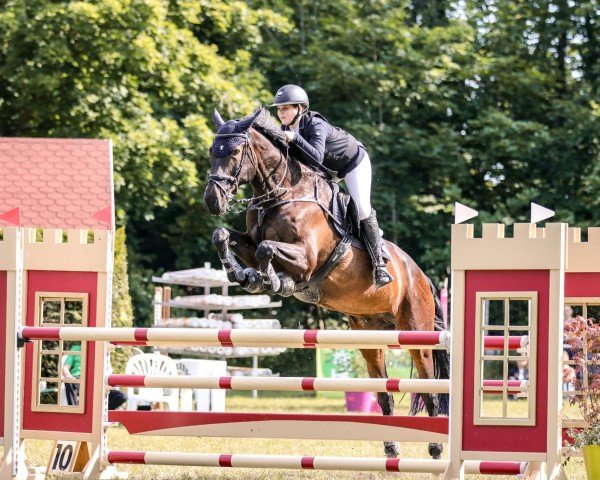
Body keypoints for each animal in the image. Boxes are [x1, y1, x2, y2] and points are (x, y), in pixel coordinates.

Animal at [204, 107, 448, 460]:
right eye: (212, 151)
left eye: (235, 152)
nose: (212, 201)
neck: (282, 194)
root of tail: (422, 277)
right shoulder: (250, 240)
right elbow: (223, 235)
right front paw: (243, 275)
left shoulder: (306, 258)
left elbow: (268, 251)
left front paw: (272, 280)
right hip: (369, 336)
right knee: (385, 393)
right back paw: (392, 450)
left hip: (416, 331)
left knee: (430, 388)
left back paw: (436, 448)